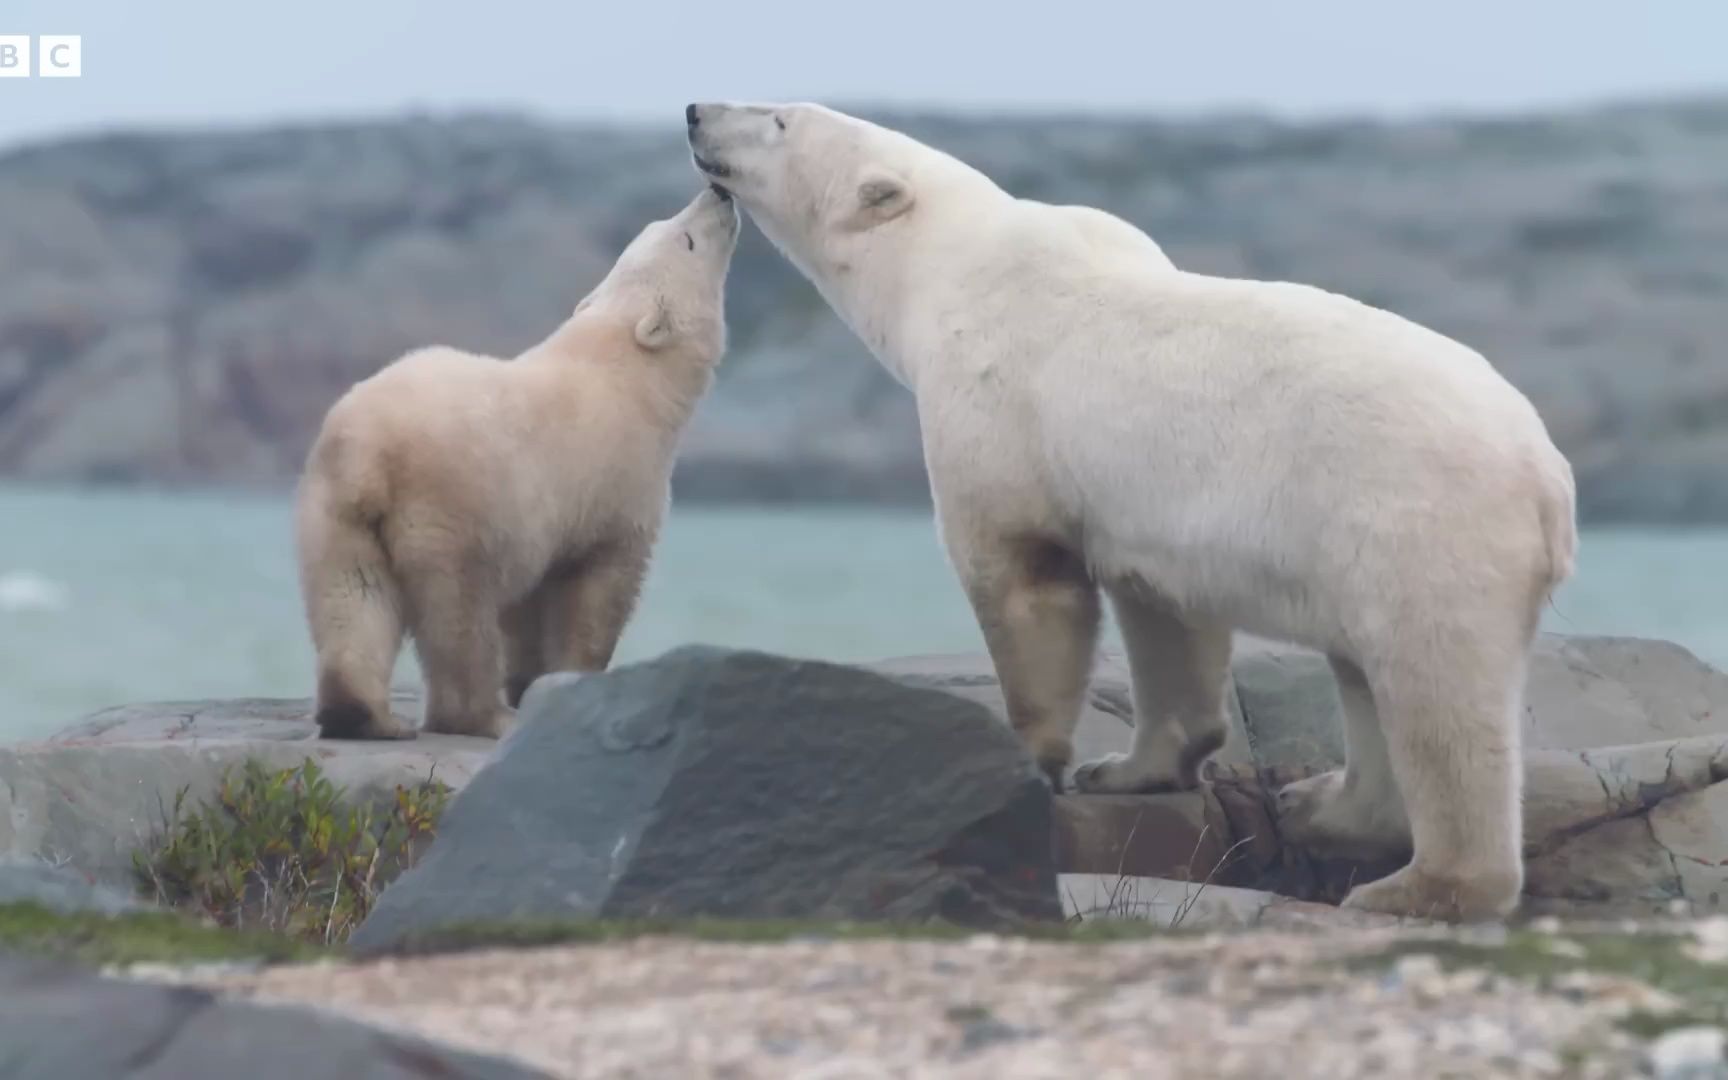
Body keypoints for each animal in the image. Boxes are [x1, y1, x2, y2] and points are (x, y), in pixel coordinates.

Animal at [295, 187, 736, 739]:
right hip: (451, 507)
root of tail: (370, 454)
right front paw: (574, 682)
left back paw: (364, 716)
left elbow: (527, 606)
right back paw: (484, 717)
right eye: (687, 238)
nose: (719, 193)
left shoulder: (542, 518)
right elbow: (598, 591)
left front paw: (533, 686)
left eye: (664, 225)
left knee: (354, 597)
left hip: (336, 513)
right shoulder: (615, 484)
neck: (627, 369)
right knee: (460, 614)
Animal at [687, 101, 1582, 919]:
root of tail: (1549, 473)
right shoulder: (1149, 515)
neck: (950, 266)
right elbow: (1166, 617)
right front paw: (1125, 769)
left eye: (779, 119)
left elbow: (1019, 575)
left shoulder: (996, 404)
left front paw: (1037, 761)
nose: (697, 111)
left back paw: (1423, 886)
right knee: (1366, 678)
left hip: (1415, 521)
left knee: (1435, 696)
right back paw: (1319, 807)